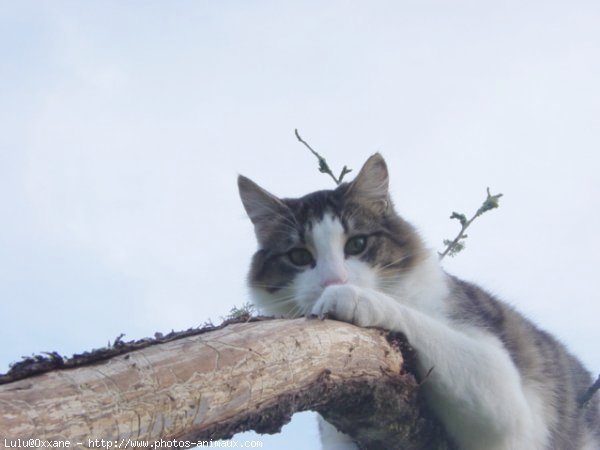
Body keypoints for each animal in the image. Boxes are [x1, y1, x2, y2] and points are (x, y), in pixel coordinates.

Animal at [237, 153, 596, 448]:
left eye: (357, 244)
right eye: (299, 256)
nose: (333, 280)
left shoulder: (504, 393)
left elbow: (414, 319)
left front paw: (348, 297)